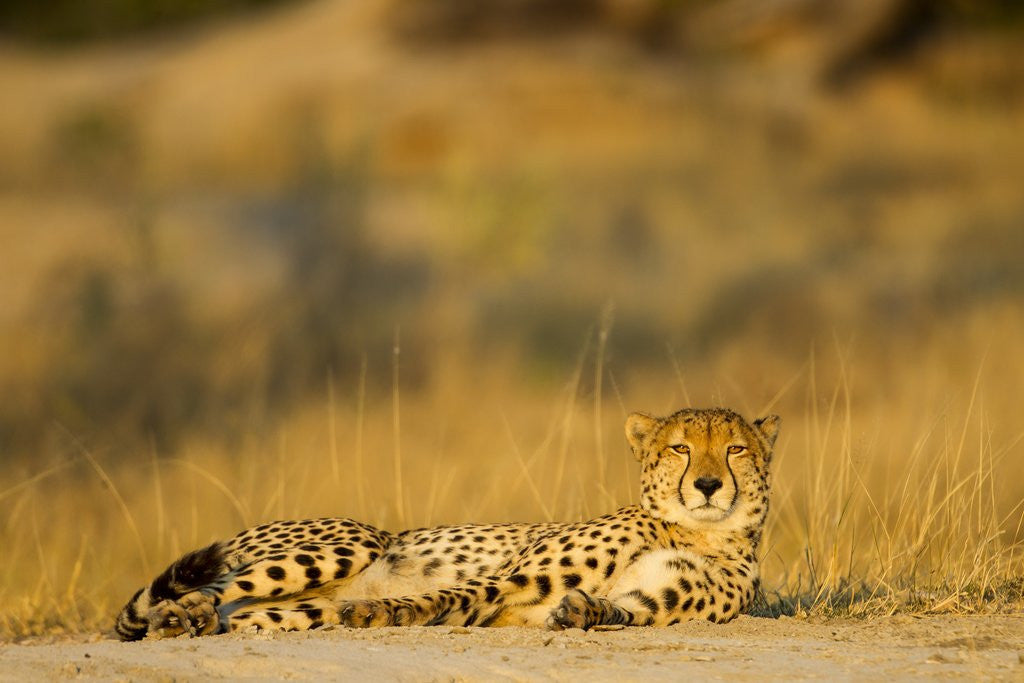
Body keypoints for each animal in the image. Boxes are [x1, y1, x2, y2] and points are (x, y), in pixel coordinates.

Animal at [114, 407, 779, 639]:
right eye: (680, 448)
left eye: (736, 449)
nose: (709, 485)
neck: (698, 529)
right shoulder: (515, 578)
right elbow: (448, 594)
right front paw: (384, 612)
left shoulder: (657, 600)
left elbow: (616, 609)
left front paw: (583, 612)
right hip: (352, 542)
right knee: (204, 590)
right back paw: (180, 615)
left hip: (294, 603)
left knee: (242, 611)